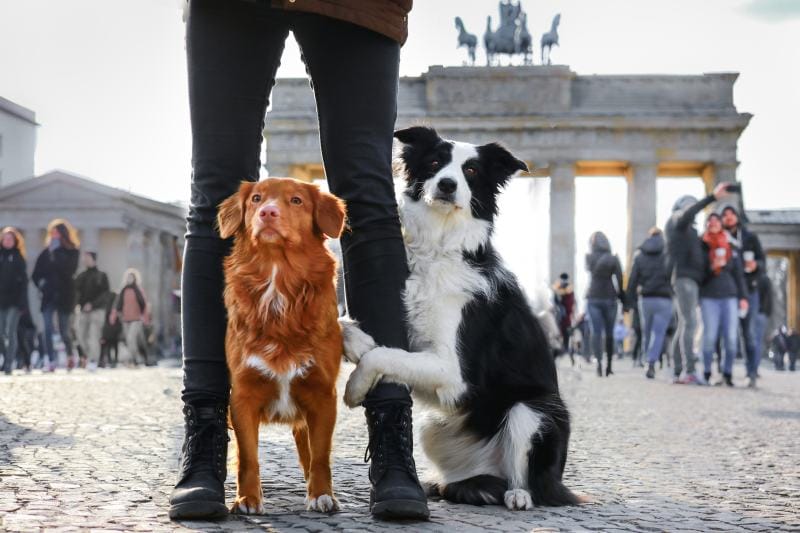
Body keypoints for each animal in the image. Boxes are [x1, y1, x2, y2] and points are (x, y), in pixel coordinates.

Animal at [217, 177, 346, 512]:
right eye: (256, 198)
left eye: (297, 200)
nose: (267, 213)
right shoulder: (243, 395)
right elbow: (248, 456)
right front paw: (248, 498)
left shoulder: (322, 395)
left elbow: (320, 455)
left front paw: (321, 494)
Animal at [340, 127, 580, 510]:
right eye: (435, 162)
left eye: (471, 171)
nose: (447, 184)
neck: (438, 244)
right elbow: (356, 332)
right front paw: (355, 341)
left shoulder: (455, 374)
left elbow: (382, 355)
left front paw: (355, 385)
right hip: (433, 425)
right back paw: (437, 484)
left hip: (531, 410)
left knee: (529, 482)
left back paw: (517, 496)